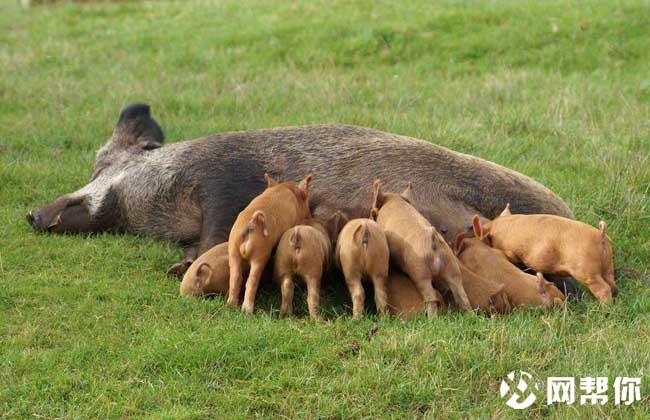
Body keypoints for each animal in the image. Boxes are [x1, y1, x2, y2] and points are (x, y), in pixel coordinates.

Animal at [227, 174, 312, 315]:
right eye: (306, 202)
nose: (310, 215)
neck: (286, 188)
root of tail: (251, 224)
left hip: (233, 250)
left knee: (235, 278)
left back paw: (230, 306)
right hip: (260, 253)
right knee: (251, 281)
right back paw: (247, 311)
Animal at [372, 180, 472, 316]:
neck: (395, 201)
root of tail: (433, 239)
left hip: (420, 272)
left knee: (431, 296)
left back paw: (432, 318)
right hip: (452, 267)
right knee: (462, 295)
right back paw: (470, 315)